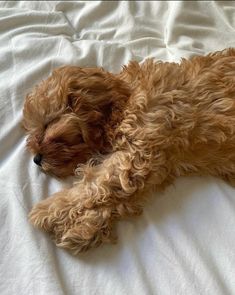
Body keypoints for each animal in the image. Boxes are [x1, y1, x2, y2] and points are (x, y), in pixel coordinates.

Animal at [22, 48, 235, 254]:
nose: (36, 159)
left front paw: (49, 211)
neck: (127, 98)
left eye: (47, 125)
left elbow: (94, 185)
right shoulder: (156, 165)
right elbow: (117, 196)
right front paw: (85, 230)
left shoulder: (137, 155)